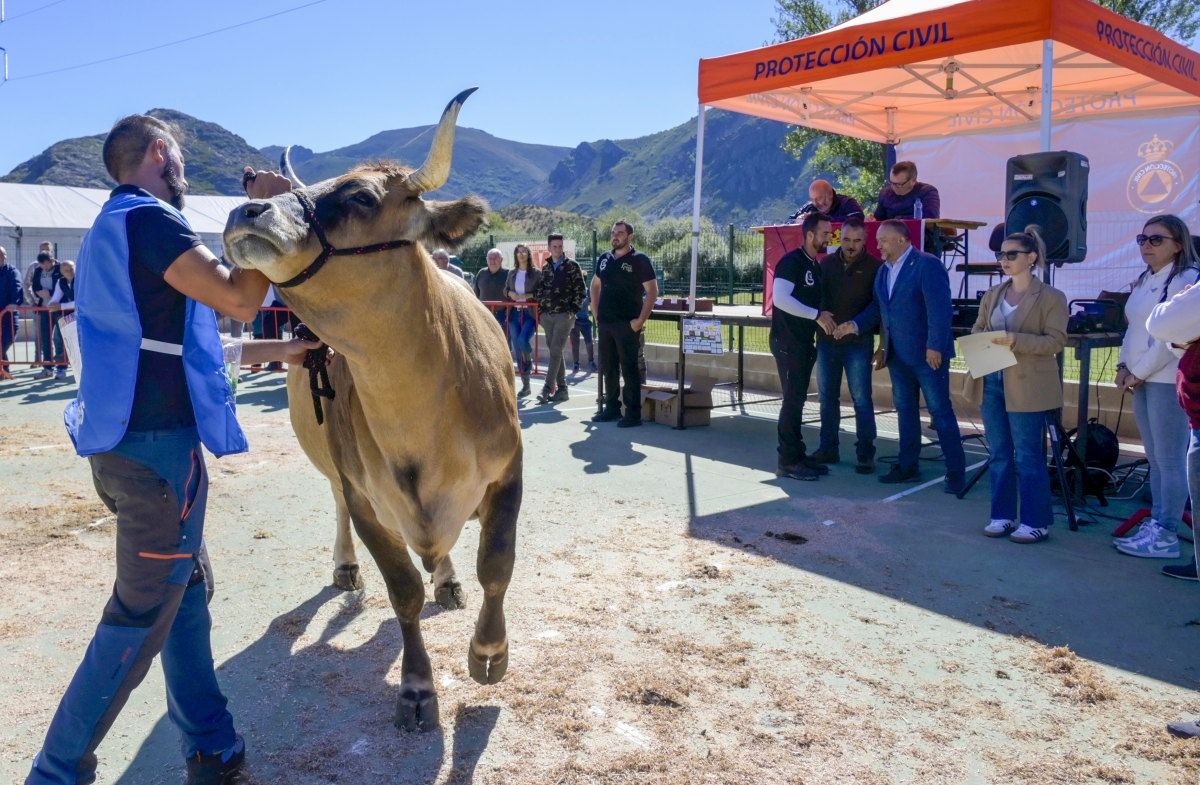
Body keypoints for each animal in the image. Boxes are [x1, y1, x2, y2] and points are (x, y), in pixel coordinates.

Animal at [222, 89, 520, 734]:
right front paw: (417, 687)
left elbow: (497, 564)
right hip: (334, 466)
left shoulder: (508, 472)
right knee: (336, 504)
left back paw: (448, 579)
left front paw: (489, 651)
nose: (244, 212)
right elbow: (403, 591)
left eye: (360, 196)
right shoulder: (366, 499)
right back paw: (346, 568)